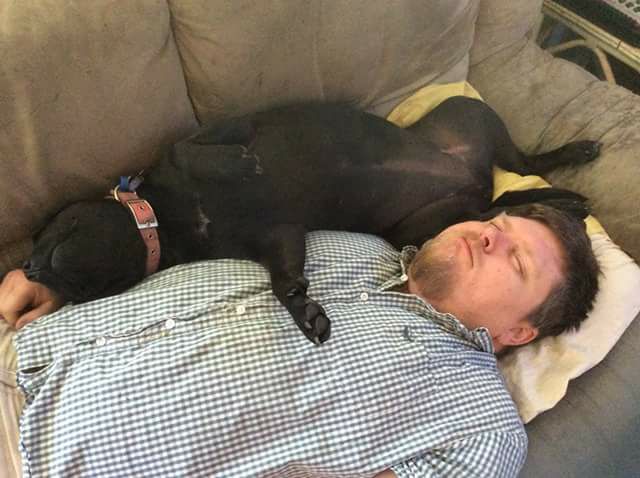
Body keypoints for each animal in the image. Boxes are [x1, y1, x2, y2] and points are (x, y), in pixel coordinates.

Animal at [21, 97, 600, 344]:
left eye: (51, 229)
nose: (27, 267)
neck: (165, 219)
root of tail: (470, 174)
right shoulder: (278, 238)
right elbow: (284, 282)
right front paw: (304, 312)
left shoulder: (216, 136)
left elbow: (196, 151)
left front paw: (243, 165)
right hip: (423, 223)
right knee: (499, 204)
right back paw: (563, 202)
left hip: (473, 117)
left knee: (525, 161)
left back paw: (574, 162)